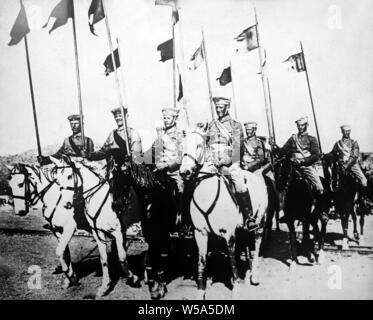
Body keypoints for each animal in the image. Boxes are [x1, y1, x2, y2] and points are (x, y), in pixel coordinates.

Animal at [49, 158, 141, 298]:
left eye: (69, 176)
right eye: (57, 179)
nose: (66, 204)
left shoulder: (118, 232)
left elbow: (122, 257)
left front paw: (133, 278)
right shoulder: (98, 233)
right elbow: (103, 259)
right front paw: (104, 287)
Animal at [179, 128, 268, 300]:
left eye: (198, 145)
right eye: (182, 146)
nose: (184, 172)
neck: (207, 193)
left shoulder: (229, 234)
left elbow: (232, 259)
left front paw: (237, 289)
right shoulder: (200, 233)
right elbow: (201, 261)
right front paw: (201, 291)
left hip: (260, 220)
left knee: (258, 241)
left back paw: (254, 275)